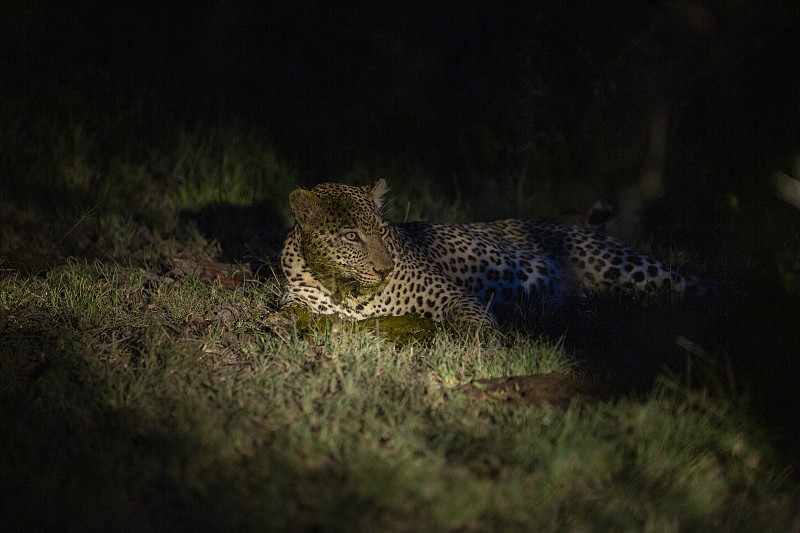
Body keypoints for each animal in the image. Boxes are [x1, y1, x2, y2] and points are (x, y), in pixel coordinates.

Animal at [278, 181, 708, 332]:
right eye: (352, 236)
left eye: (381, 232)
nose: (385, 269)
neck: (344, 290)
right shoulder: (302, 295)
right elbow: (289, 305)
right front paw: (279, 323)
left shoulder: (452, 295)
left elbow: (474, 321)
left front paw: (489, 347)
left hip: (626, 265)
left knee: (693, 284)